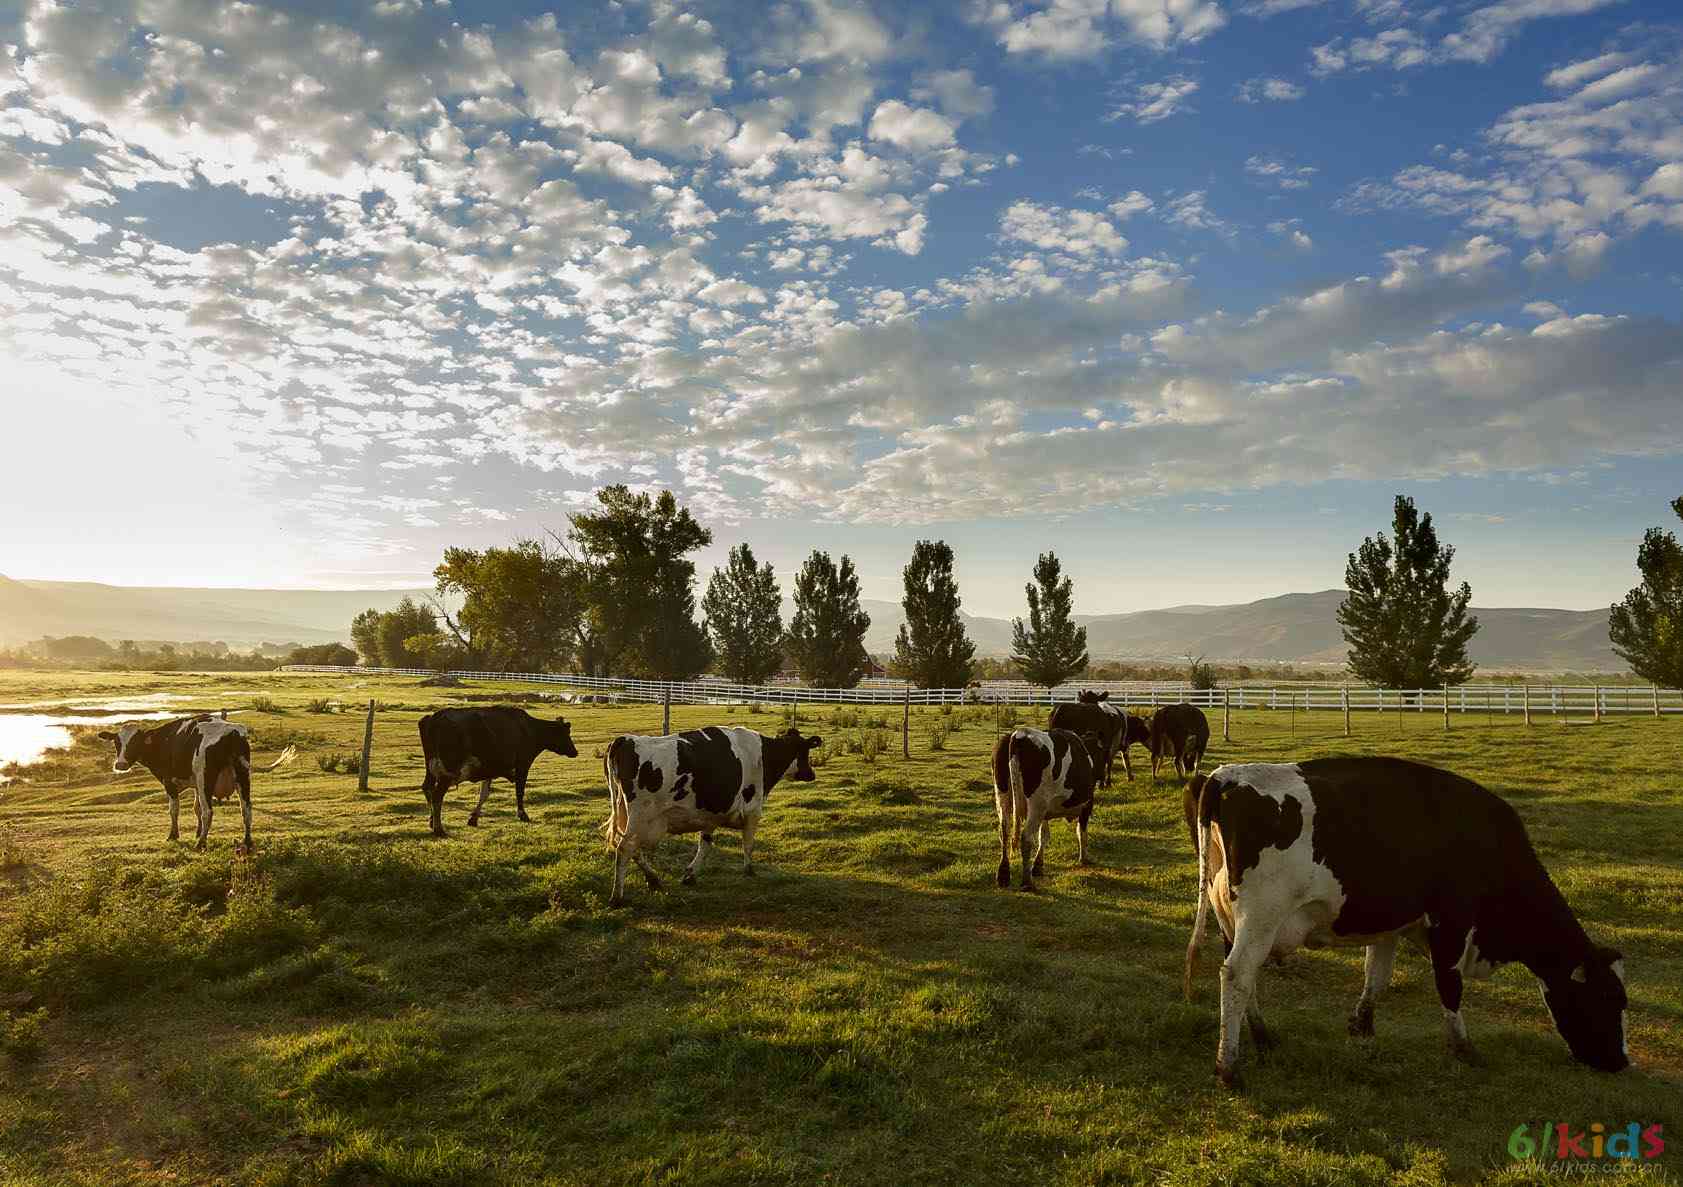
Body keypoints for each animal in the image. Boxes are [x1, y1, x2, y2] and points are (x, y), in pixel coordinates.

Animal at [98, 713, 297, 851]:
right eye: (117, 742)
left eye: (134, 741)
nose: (120, 764)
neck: (163, 741)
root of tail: (232, 732)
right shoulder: (195, 784)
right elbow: (196, 808)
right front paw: (196, 832)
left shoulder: (171, 783)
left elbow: (175, 809)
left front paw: (174, 835)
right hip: (241, 776)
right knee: (246, 808)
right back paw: (246, 842)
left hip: (206, 778)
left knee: (209, 811)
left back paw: (201, 843)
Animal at [417, 707, 582, 838]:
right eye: (565, 734)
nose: (575, 752)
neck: (530, 729)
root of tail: (434, 717)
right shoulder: (523, 765)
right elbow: (519, 791)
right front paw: (522, 815)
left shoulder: (489, 771)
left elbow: (484, 795)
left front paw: (473, 819)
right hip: (447, 773)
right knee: (437, 796)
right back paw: (439, 829)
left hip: (431, 771)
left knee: (427, 788)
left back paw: (431, 821)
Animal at [602, 720, 824, 909]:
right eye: (805, 751)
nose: (811, 774)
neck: (763, 756)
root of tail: (625, 739)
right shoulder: (753, 810)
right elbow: (748, 843)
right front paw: (749, 871)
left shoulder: (709, 816)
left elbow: (706, 845)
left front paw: (690, 875)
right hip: (642, 817)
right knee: (625, 848)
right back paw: (617, 897)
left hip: (627, 816)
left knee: (629, 848)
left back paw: (654, 880)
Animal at [982, 720, 1104, 888]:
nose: (1103, 776)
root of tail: (1019, 734)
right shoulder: (1087, 804)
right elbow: (1081, 832)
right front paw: (1084, 858)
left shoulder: (1045, 811)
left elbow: (1044, 835)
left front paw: (1038, 865)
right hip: (1036, 806)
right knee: (1026, 838)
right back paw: (1027, 882)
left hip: (1003, 797)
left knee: (1004, 832)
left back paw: (1003, 875)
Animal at [1184, 761, 1629, 1084]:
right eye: (1607, 1000)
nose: (1621, 1062)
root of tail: (1227, 775)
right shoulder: (1451, 922)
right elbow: (1449, 986)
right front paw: (1463, 1048)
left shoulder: (1389, 924)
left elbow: (1376, 977)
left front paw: (1362, 1026)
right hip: (1262, 917)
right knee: (1237, 975)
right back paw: (1229, 1067)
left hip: (1232, 920)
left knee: (1244, 977)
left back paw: (1261, 1036)